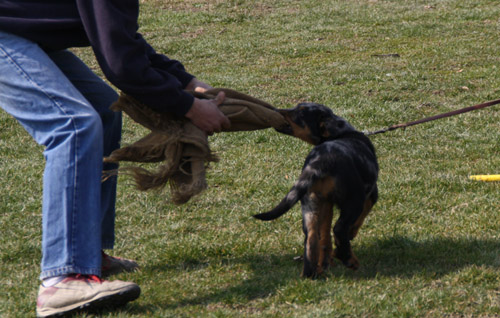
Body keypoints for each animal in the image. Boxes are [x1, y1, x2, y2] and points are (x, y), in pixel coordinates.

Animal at [254, 103, 378, 278]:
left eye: (300, 113)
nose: (276, 111)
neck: (341, 133)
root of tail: (319, 161)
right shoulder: (371, 194)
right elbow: (360, 218)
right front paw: (351, 235)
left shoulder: (326, 203)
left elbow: (324, 236)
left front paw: (326, 261)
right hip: (353, 201)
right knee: (339, 229)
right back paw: (349, 260)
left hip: (309, 203)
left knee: (312, 237)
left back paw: (311, 273)